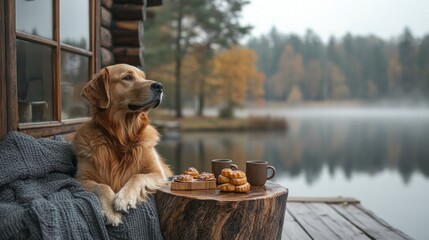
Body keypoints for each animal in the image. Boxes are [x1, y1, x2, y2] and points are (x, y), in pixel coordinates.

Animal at [72, 63, 171, 225]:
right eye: (128, 77)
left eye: (143, 77)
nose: (159, 86)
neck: (121, 139)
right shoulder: (81, 178)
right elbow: (102, 186)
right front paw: (111, 211)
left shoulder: (158, 173)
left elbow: (137, 176)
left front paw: (124, 198)